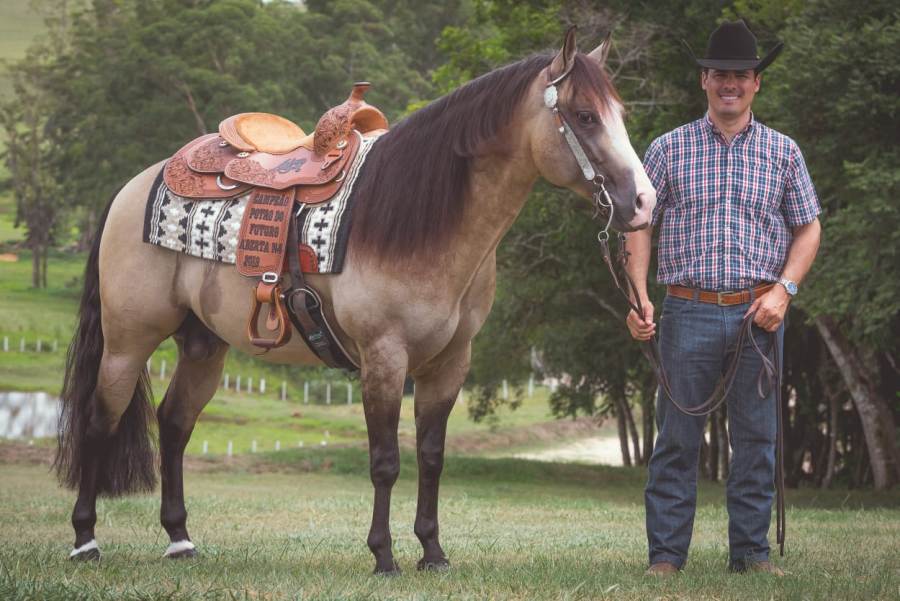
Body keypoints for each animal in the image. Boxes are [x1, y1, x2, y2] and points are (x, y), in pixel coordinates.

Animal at [59, 30, 656, 576]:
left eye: (620, 113)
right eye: (584, 116)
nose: (643, 202)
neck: (423, 221)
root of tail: (134, 185)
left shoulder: (450, 363)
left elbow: (432, 457)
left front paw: (433, 553)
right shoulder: (384, 356)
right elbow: (386, 461)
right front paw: (384, 557)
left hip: (204, 345)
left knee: (176, 422)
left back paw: (180, 540)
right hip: (128, 340)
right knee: (99, 421)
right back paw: (86, 542)